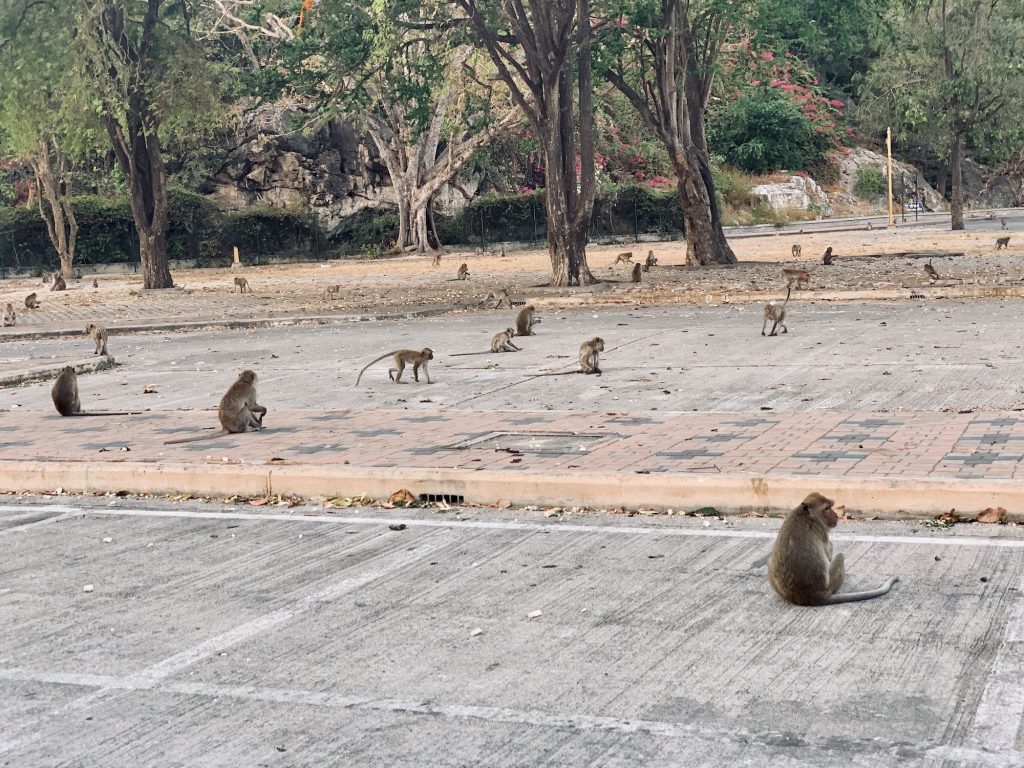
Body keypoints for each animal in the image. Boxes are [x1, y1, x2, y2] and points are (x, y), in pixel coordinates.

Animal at [768, 492, 899, 606]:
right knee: (840, 556)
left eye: (831, 507)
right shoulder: (822, 531)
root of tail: (810, 596)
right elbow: (829, 554)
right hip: (830, 584)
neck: (807, 516)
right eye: (827, 508)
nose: (836, 515)